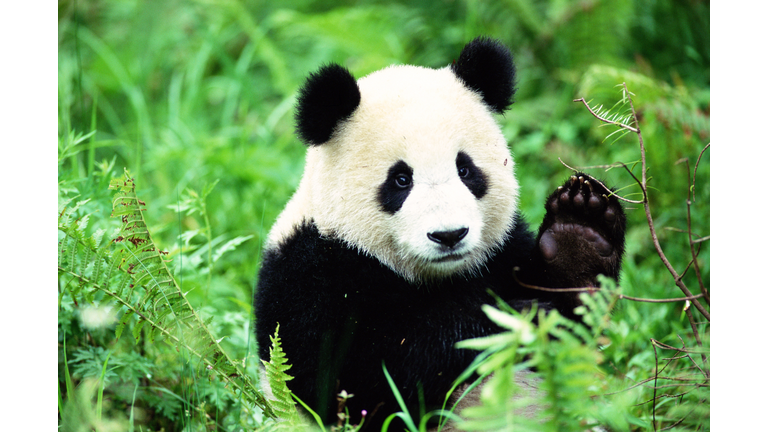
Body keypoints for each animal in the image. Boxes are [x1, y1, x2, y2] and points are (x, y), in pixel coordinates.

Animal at [255, 37, 626, 430]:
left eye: (465, 170)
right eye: (401, 180)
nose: (449, 235)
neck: (435, 276)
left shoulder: (504, 249)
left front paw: (578, 236)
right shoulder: (309, 275)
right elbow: (354, 376)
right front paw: (512, 320)